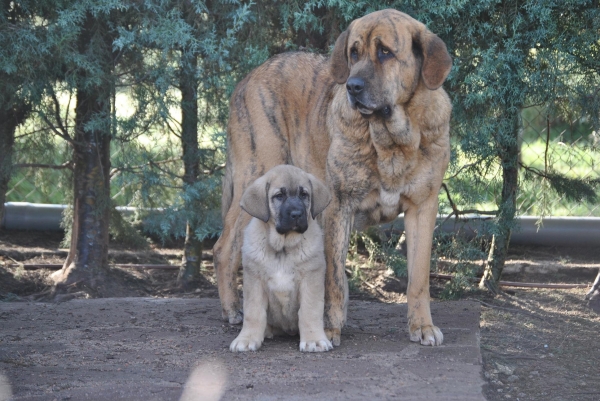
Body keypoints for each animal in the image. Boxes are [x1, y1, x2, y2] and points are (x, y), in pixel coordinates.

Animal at [229, 164, 332, 352]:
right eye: (279, 196)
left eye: (304, 194)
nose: (297, 214)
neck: (283, 248)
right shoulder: (254, 280)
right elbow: (253, 313)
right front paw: (247, 338)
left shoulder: (311, 278)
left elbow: (310, 311)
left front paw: (313, 339)